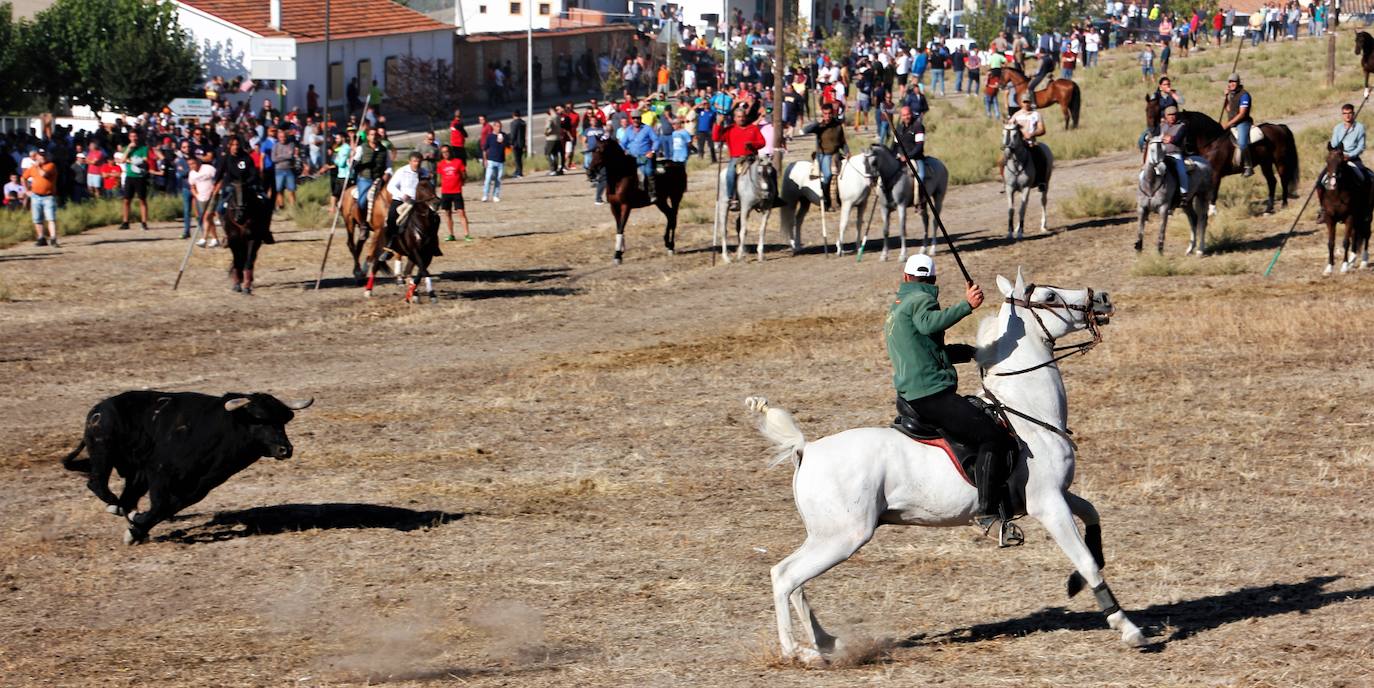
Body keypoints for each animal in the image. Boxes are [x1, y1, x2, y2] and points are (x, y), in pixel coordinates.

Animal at [61, 392, 311, 541]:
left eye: (282, 421)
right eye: (259, 419)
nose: (286, 449)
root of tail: (98, 409)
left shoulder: (202, 484)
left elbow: (172, 505)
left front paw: (138, 527)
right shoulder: (159, 471)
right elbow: (161, 504)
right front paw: (135, 528)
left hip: (134, 473)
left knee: (127, 494)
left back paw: (125, 510)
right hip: (104, 453)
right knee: (97, 483)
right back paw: (118, 507)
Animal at [747, 265, 1143, 661]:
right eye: (1048, 296)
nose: (1102, 298)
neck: (1027, 411)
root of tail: (807, 449)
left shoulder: (1056, 495)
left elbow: (1093, 517)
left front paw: (1075, 584)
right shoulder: (1048, 504)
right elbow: (1087, 560)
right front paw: (1128, 628)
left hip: (826, 536)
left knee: (794, 580)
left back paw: (827, 642)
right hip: (844, 537)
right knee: (785, 577)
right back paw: (797, 651)